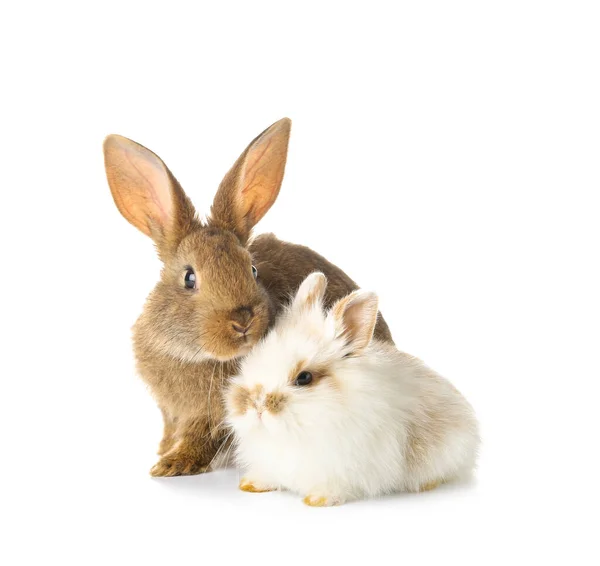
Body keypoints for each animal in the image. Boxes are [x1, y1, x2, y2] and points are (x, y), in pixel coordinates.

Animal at [103, 120, 394, 480]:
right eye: (189, 278)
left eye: (252, 269)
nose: (242, 321)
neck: (198, 356)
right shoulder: (170, 410)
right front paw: (163, 451)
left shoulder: (211, 417)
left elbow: (200, 438)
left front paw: (172, 463)